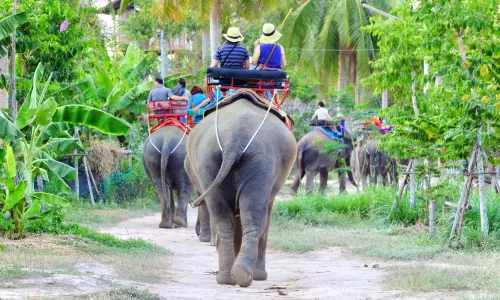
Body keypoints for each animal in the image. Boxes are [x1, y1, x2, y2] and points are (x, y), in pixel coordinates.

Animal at [185, 98, 294, 286]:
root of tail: (233, 141)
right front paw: (258, 276)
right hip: (261, 160)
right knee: (254, 213)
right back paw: (248, 276)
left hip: (209, 160)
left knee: (222, 214)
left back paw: (229, 277)